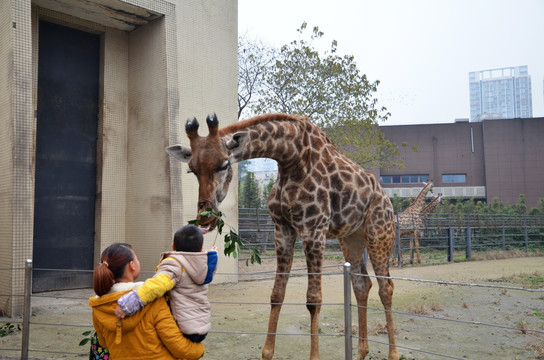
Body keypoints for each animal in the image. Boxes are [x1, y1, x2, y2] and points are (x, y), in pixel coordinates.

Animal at [168, 113, 402, 360]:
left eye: (224, 164)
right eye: (191, 169)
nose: (205, 218)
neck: (291, 158)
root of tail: (386, 199)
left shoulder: (313, 228)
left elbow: (314, 299)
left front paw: (314, 357)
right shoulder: (282, 228)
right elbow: (277, 293)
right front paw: (267, 352)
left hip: (379, 233)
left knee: (386, 287)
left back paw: (393, 353)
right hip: (351, 238)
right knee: (361, 284)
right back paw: (361, 352)